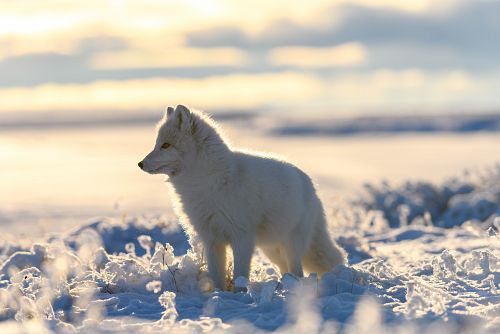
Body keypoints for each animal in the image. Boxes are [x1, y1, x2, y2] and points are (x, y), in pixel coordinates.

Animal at [139, 105, 346, 290]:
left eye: (166, 145)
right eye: (157, 144)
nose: (140, 163)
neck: (208, 182)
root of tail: (310, 184)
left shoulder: (242, 237)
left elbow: (240, 273)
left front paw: (240, 294)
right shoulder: (211, 239)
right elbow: (217, 274)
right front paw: (219, 294)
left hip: (291, 245)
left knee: (298, 271)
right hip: (271, 249)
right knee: (285, 269)